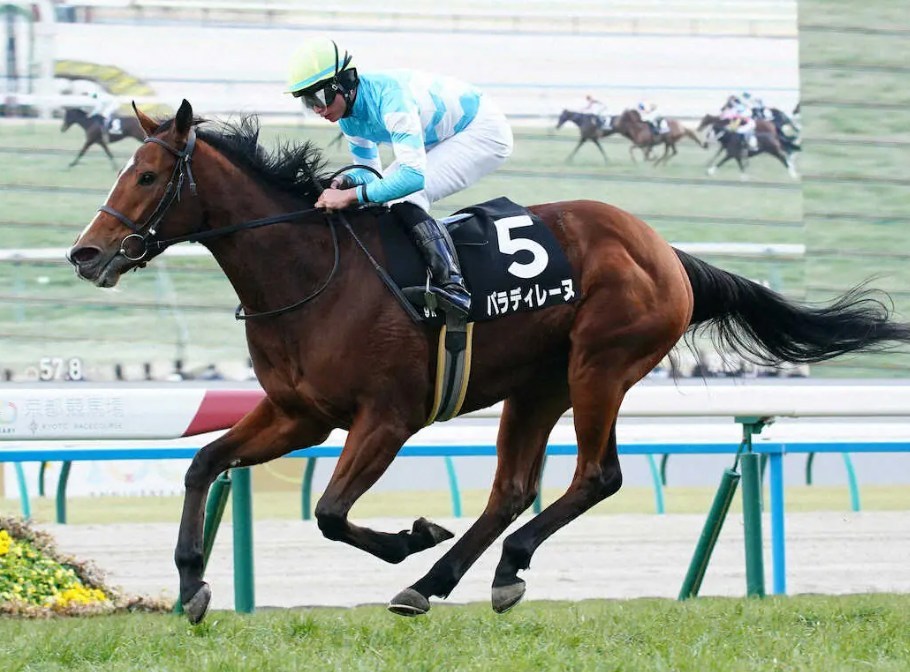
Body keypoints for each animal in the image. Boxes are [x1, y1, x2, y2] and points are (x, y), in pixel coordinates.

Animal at [68, 99, 910, 624]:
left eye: (147, 176)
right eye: (121, 170)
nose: (85, 254)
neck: (312, 272)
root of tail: (667, 253)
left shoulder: (387, 417)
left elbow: (331, 512)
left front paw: (411, 536)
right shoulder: (298, 413)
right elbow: (203, 464)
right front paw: (191, 583)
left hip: (599, 368)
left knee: (596, 476)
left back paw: (470, 567)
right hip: (535, 387)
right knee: (511, 489)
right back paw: (445, 582)